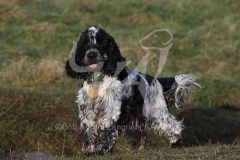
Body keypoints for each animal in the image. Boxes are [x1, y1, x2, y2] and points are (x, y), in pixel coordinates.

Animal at [64, 26, 200, 155]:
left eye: (101, 42)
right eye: (85, 43)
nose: (91, 55)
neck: (98, 80)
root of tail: (157, 80)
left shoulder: (111, 112)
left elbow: (106, 134)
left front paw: (102, 151)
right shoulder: (88, 112)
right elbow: (90, 133)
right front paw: (90, 152)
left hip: (157, 112)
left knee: (174, 126)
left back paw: (176, 143)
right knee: (142, 135)